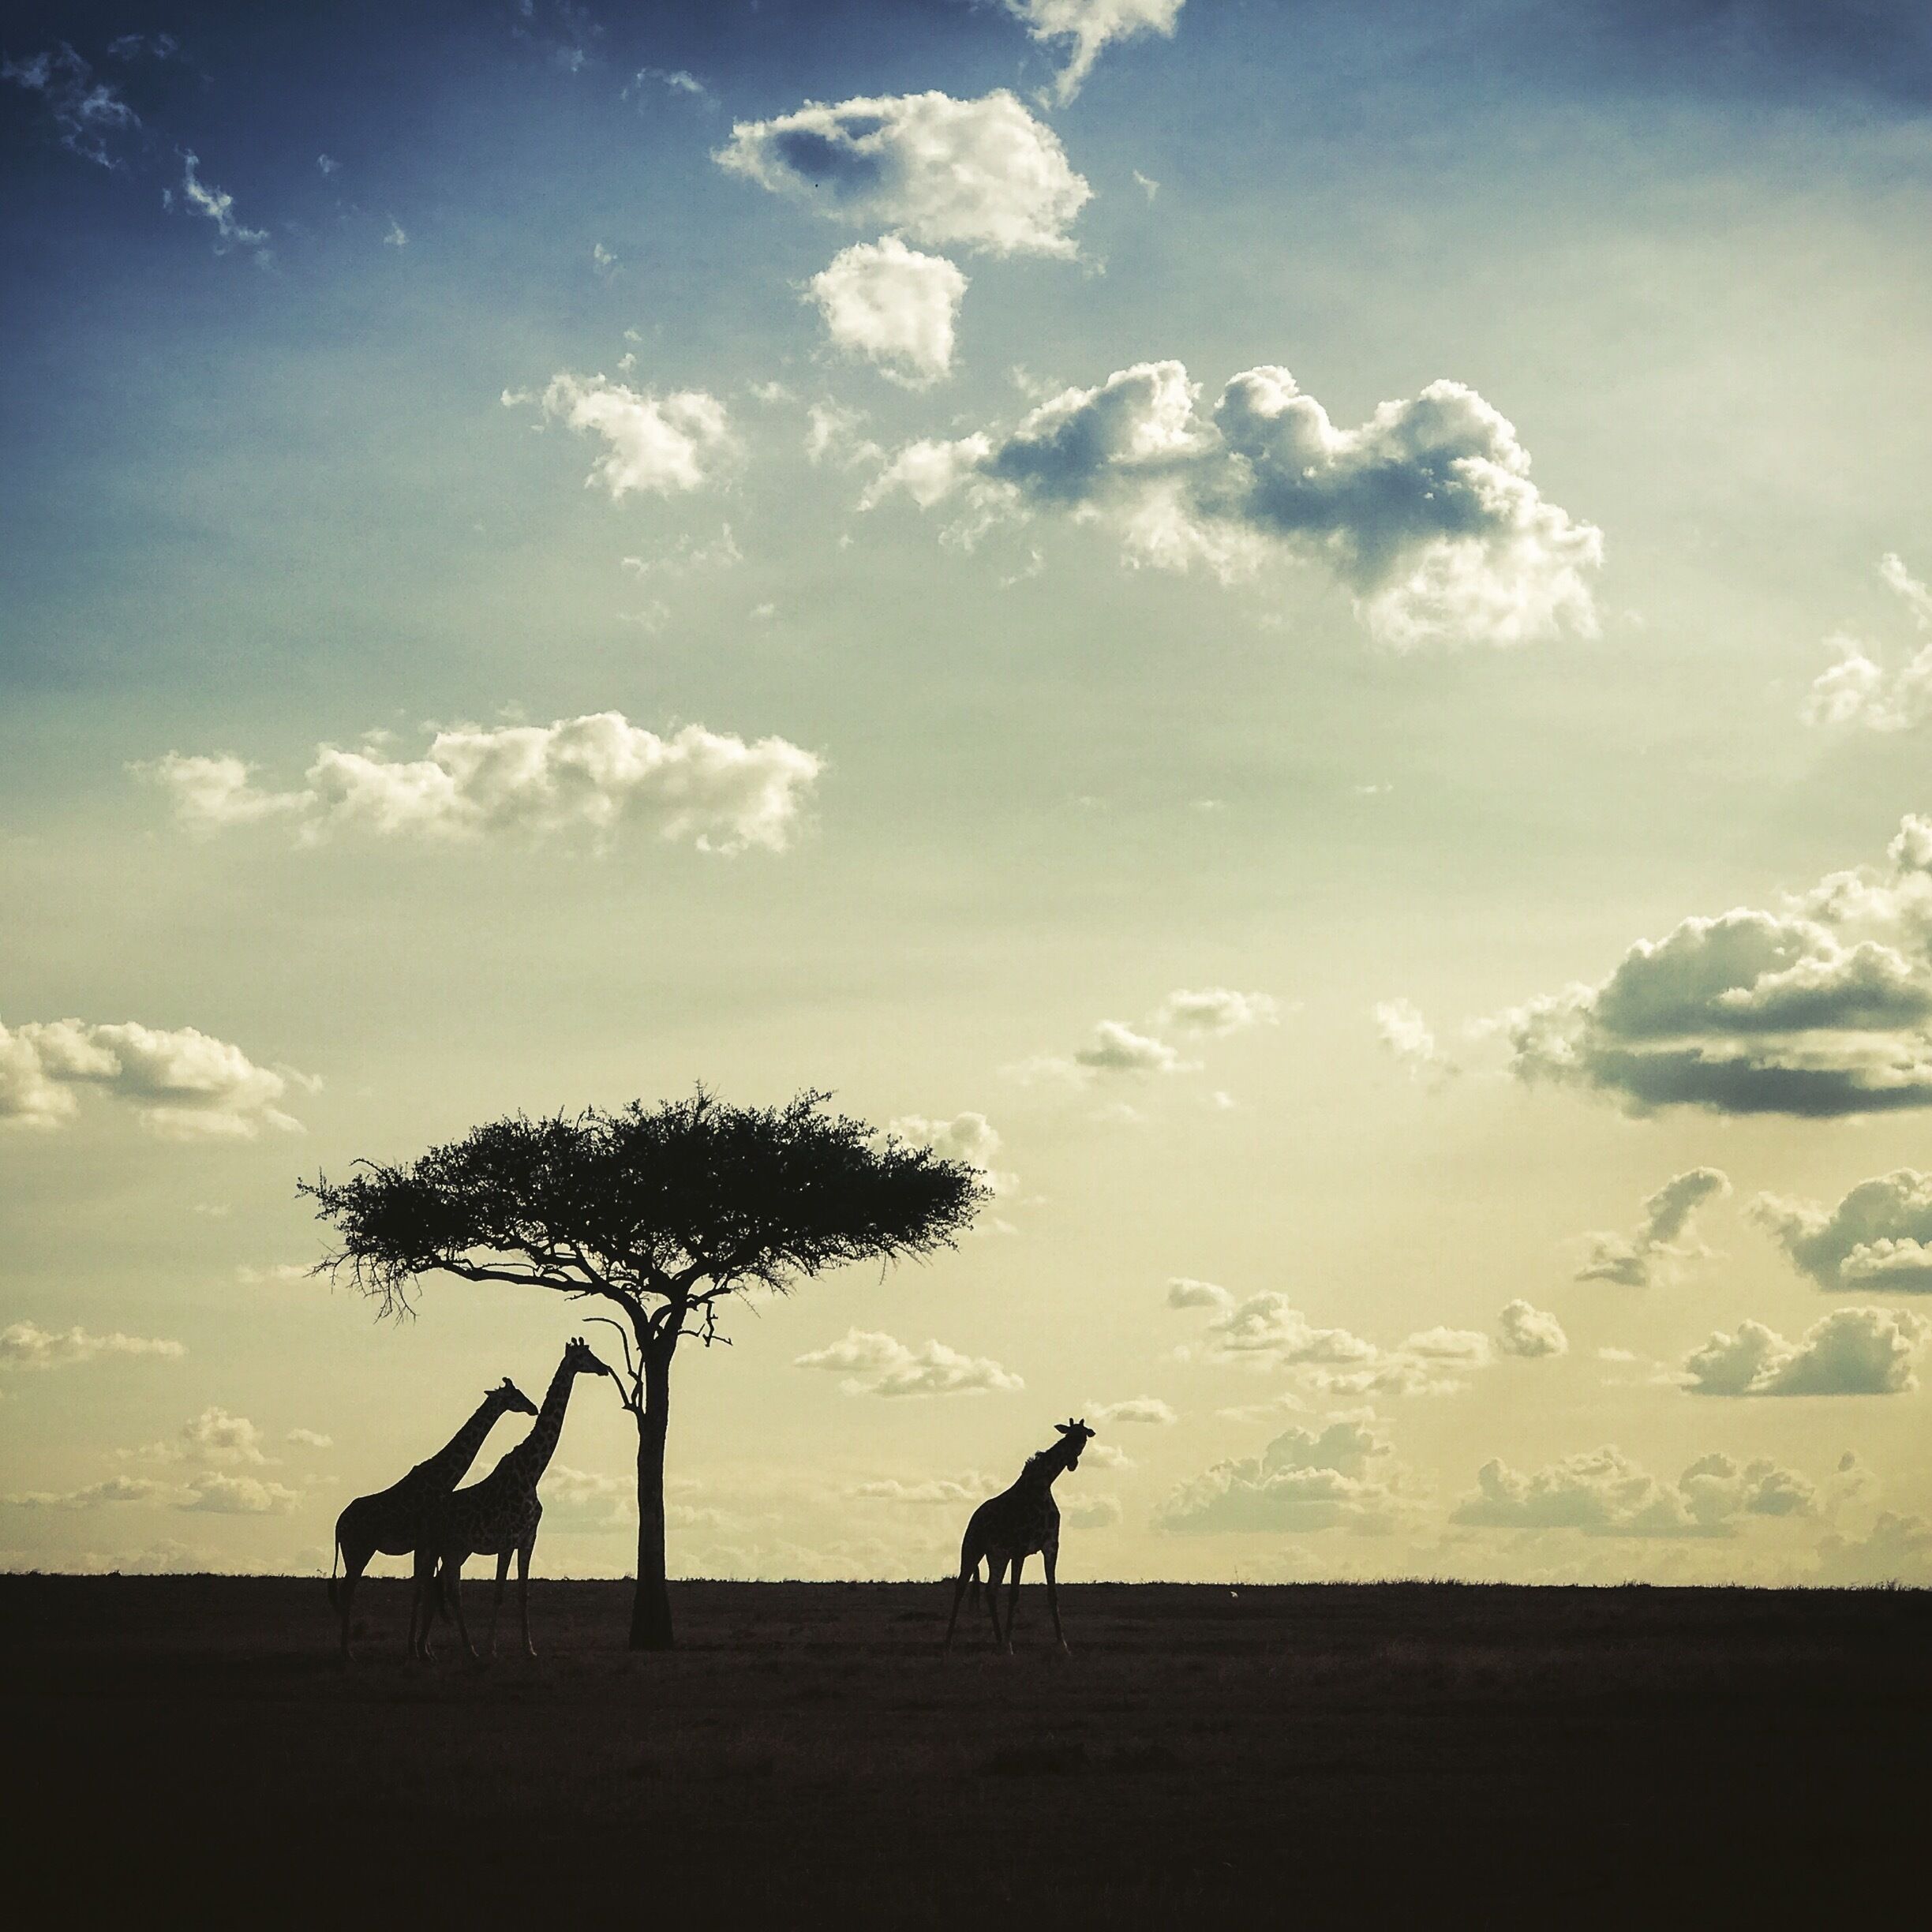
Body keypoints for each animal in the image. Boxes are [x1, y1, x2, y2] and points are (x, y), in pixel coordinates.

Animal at [328, 1376, 538, 1659]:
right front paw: (416, 1650)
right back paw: (346, 1651)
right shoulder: (425, 1542)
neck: (442, 1480)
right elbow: (422, 1591)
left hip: (355, 1551)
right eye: (515, 1395)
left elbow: (426, 1590)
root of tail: (338, 1525)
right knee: (348, 1590)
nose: (534, 1408)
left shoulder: (429, 1545)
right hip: (359, 1550)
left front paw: (424, 1650)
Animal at [408, 1335, 611, 1662]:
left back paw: (440, 1649)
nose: (605, 1368)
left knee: (441, 1589)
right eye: (584, 1356)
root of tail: (427, 1512)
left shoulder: (528, 1538)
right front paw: (492, 1648)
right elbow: (499, 1592)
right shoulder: (506, 1538)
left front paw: (529, 1648)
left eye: (592, 1353)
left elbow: (523, 1594)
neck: (532, 1471)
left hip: (456, 1549)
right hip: (436, 1547)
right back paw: (436, 1649)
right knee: (431, 1589)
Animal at [944, 1418, 1096, 1655]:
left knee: (991, 1590)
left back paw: (997, 1641)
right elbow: (1015, 1594)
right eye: (1068, 1436)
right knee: (961, 1586)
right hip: (972, 1548)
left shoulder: (1051, 1546)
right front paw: (1009, 1645)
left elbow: (1052, 1594)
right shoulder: (1020, 1548)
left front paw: (1063, 1645)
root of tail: (975, 1516)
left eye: (1083, 1438)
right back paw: (949, 1642)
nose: (1072, 1463)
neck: (1042, 1487)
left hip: (997, 1556)